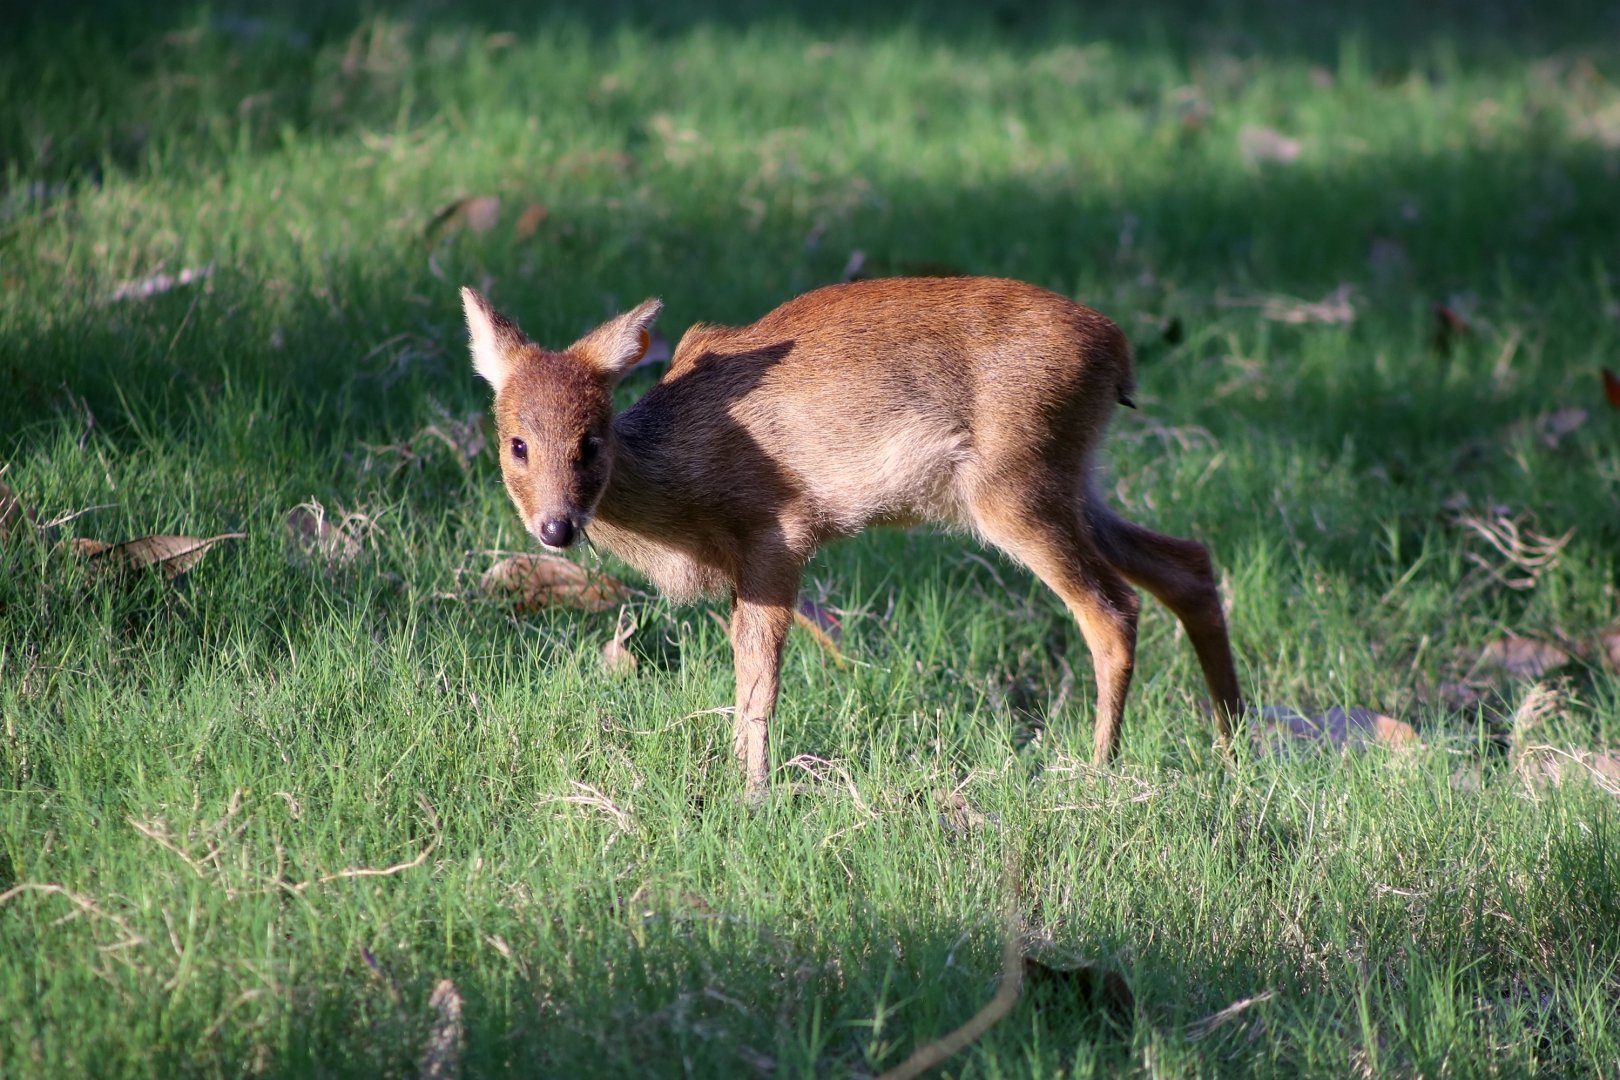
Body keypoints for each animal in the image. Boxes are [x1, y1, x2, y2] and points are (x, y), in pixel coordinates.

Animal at [461, 277, 1243, 801]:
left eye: (591, 440)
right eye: (517, 442)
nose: (556, 526)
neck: (680, 484)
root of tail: (1117, 353)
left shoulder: (777, 535)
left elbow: (758, 677)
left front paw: (752, 795)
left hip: (1015, 487)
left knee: (1111, 610)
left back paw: (1095, 771)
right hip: (1074, 480)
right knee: (1188, 565)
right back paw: (1232, 749)